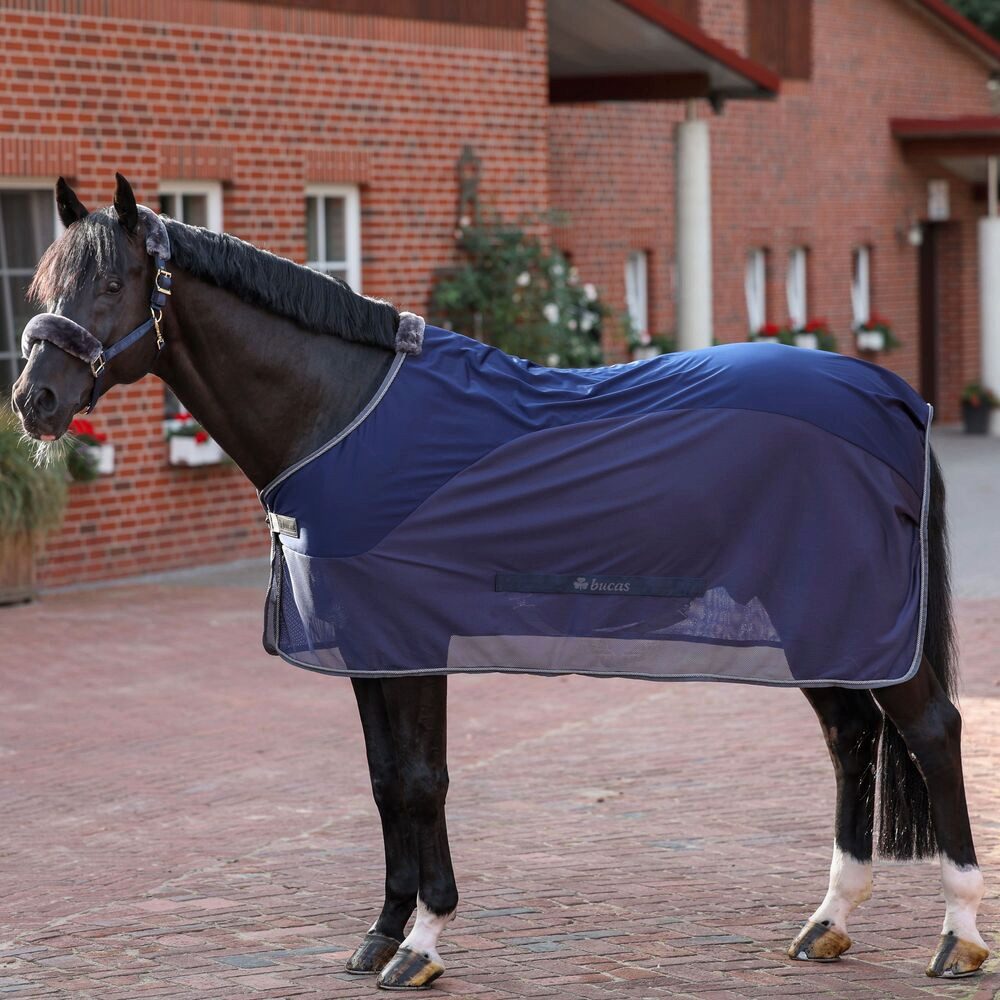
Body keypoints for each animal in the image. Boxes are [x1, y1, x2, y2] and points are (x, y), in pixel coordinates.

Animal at [10, 174, 988, 989]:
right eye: (39, 287)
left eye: (110, 284)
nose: (34, 402)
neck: (345, 412)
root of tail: (894, 399)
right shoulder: (367, 645)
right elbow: (383, 781)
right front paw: (380, 933)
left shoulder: (411, 640)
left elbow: (421, 780)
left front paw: (422, 942)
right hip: (817, 616)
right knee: (850, 738)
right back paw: (828, 920)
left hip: (852, 615)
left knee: (933, 731)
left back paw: (959, 935)